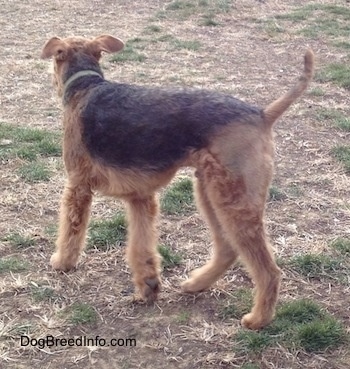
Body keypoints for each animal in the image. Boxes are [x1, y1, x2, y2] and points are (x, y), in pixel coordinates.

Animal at [41, 33, 314, 328]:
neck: (86, 86)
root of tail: (262, 114)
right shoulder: (140, 197)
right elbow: (141, 246)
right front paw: (148, 286)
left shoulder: (78, 185)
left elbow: (71, 229)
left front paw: (62, 262)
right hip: (209, 191)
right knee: (227, 249)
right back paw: (195, 284)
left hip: (234, 199)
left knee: (268, 270)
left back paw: (257, 319)